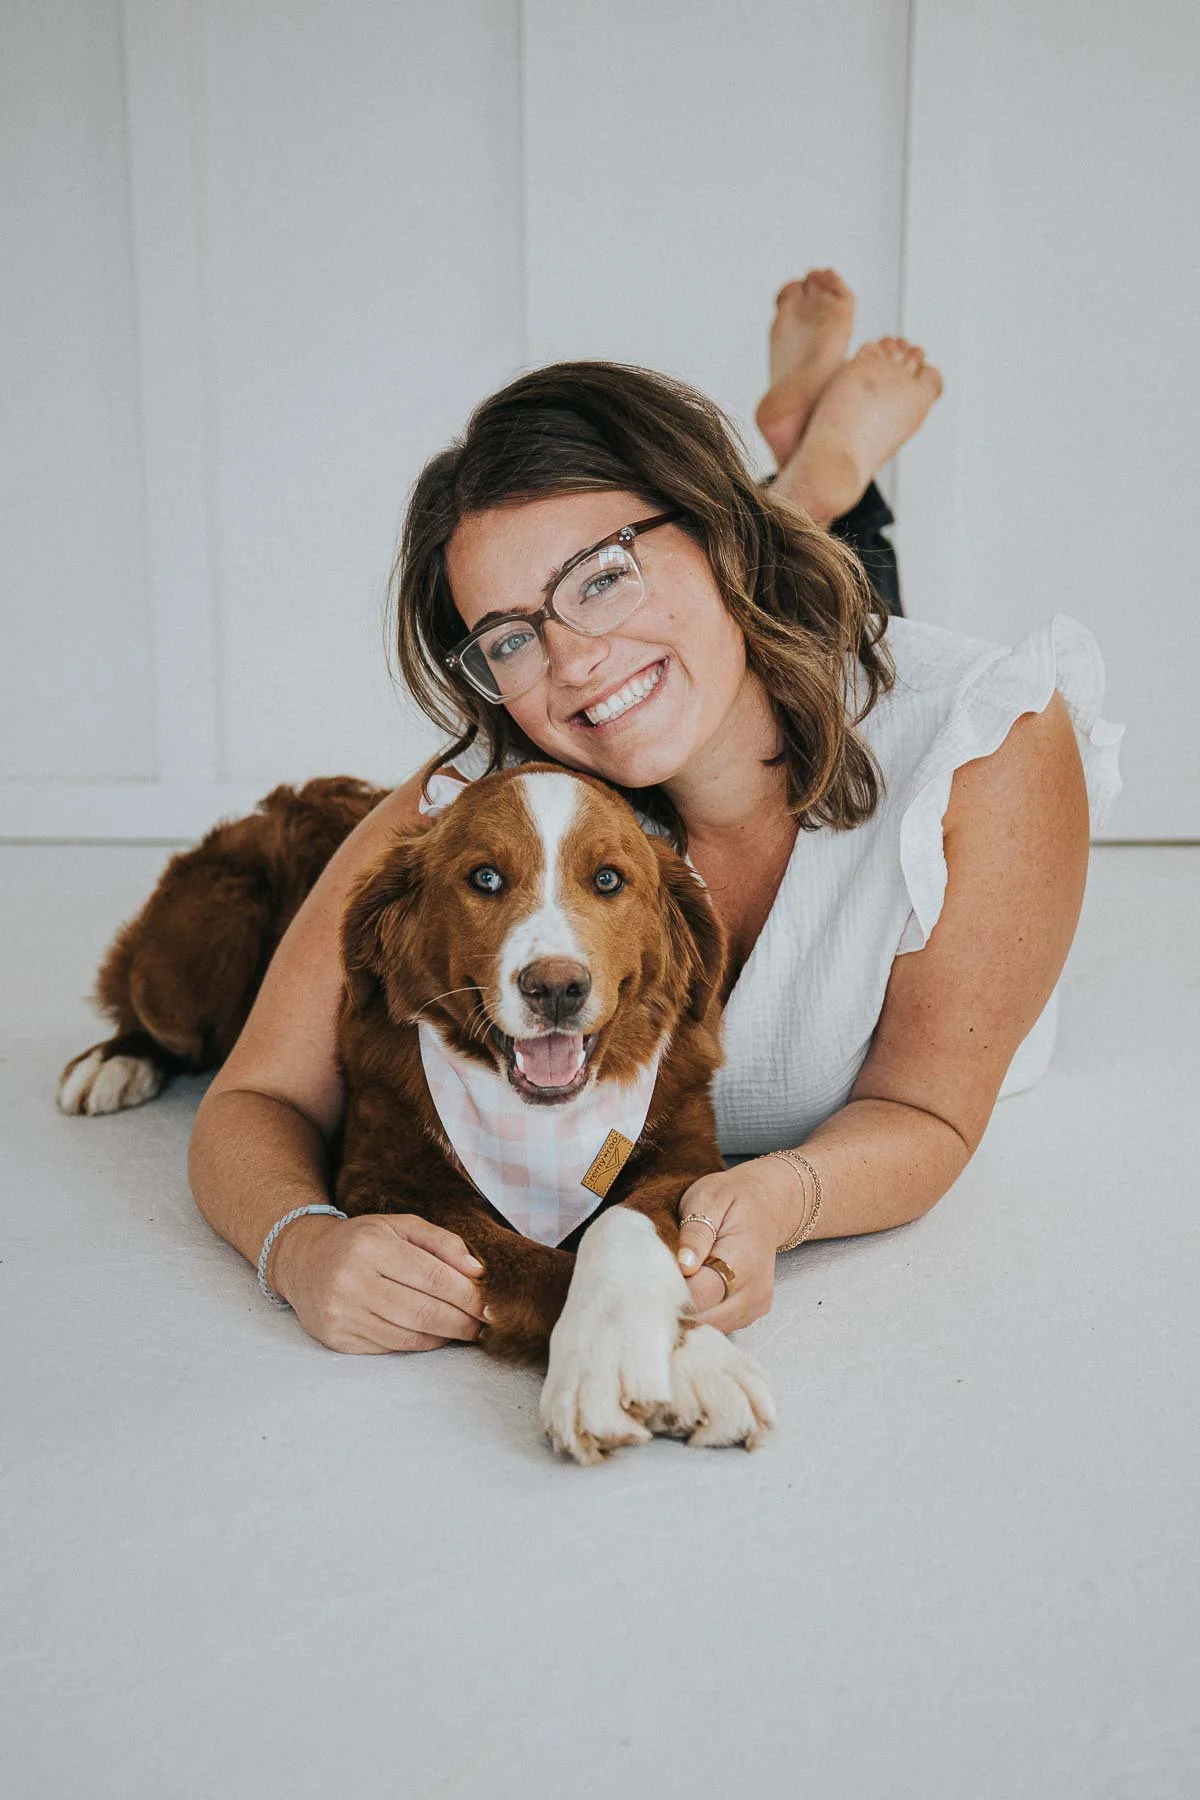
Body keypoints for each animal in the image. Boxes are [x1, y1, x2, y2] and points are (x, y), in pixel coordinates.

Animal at [58, 763, 776, 1463]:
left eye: (607, 879)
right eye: (485, 878)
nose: (556, 988)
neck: (543, 1126)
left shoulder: (685, 1156)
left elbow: (624, 1223)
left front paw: (684, 1357)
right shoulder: (394, 1184)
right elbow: (546, 1266)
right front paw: (662, 1366)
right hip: (194, 958)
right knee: (147, 1009)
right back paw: (113, 1063)